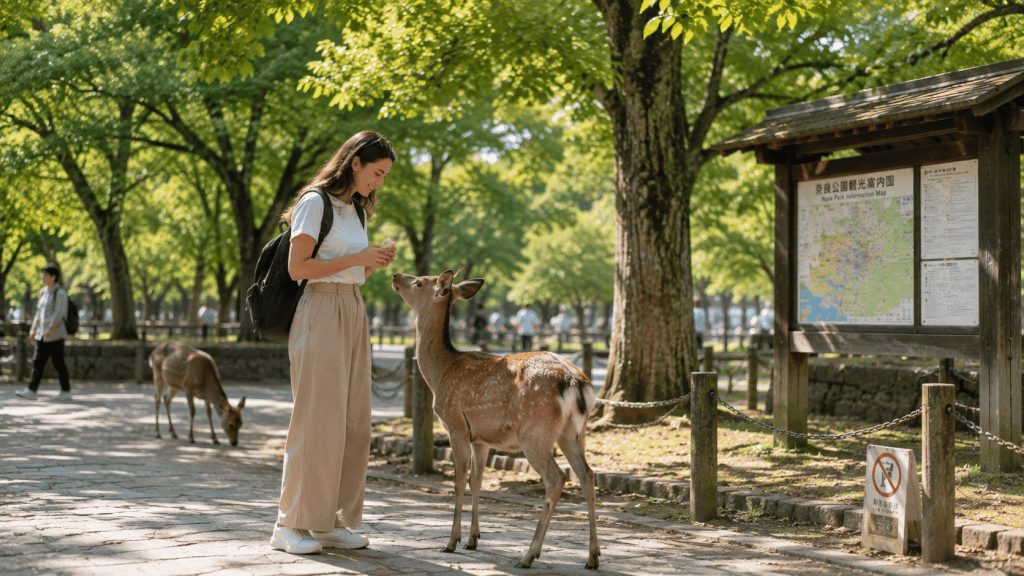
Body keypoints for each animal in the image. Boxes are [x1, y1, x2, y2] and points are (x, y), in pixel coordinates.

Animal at [392, 269, 600, 570]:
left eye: (419, 281)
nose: (396, 275)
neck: (440, 373)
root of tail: (575, 382)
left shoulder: (455, 424)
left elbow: (458, 481)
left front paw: (451, 542)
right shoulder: (481, 438)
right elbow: (476, 481)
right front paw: (473, 539)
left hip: (534, 431)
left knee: (556, 477)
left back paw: (528, 555)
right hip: (573, 433)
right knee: (587, 474)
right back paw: (593, 557)